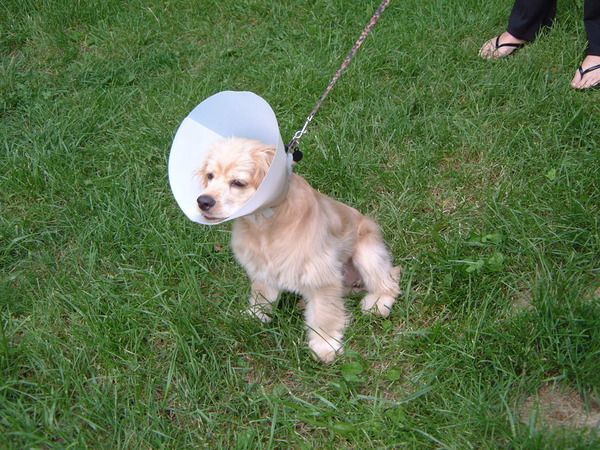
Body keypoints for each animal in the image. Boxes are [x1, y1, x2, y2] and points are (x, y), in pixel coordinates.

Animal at [196, 137, 401, 362]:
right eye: (210, 176)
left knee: (389, 281)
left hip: (368, 254)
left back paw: (377, 304)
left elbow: (324, 314)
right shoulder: (262, 266)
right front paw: (256, 316)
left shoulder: (320, 273)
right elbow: (261, 294)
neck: (265, 224)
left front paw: (325, 345)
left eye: (238, 183)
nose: (202, 201)